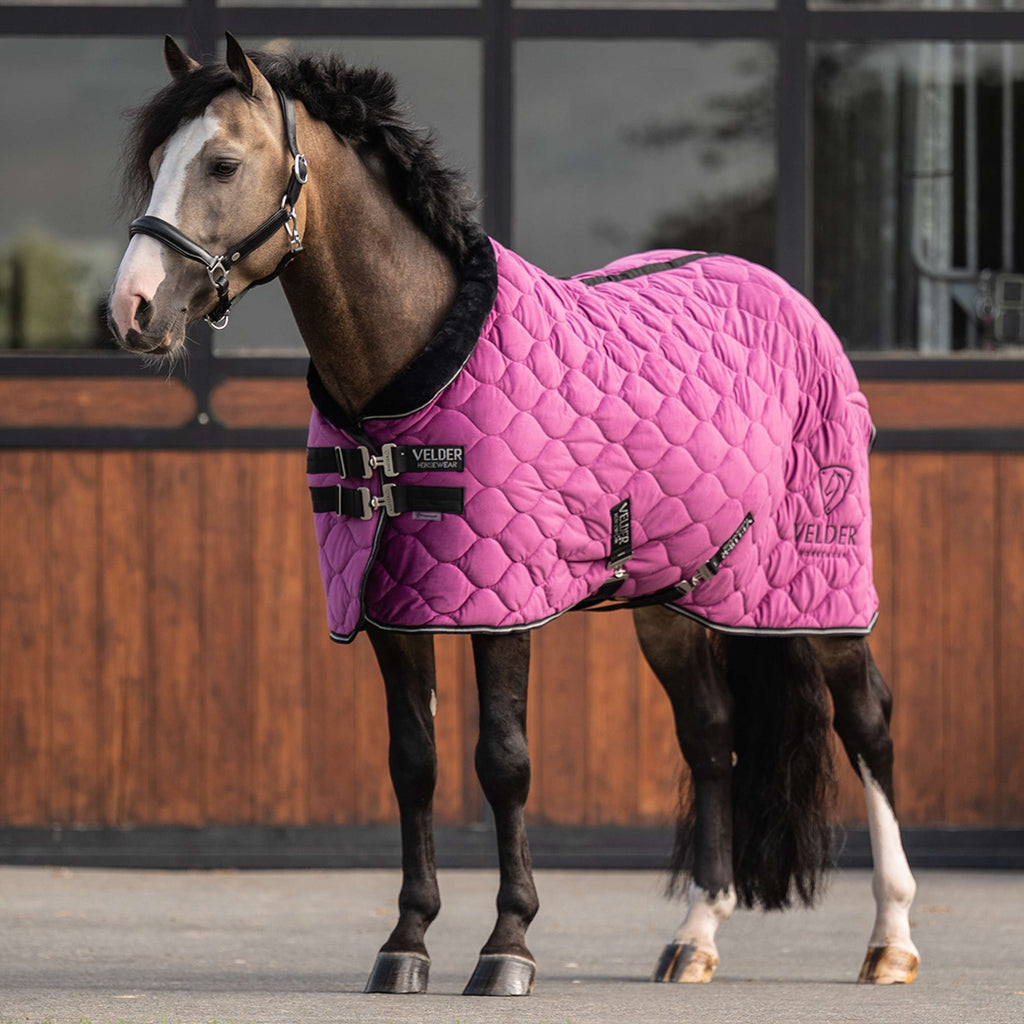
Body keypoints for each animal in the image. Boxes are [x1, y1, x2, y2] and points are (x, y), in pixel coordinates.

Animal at [108, 34, 920, 996]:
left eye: (224, 163)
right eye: (154, 161)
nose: (131, 309)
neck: (416, 367)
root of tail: (785, 298)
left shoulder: (503, 604)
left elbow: (503, 763)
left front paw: (508, 946)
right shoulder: (393, 606)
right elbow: (413, 764)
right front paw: (406, 944)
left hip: (822, 587)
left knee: (866, 722)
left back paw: (891, 940)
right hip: (677, 599)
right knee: (711, 736)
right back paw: (697, 937)